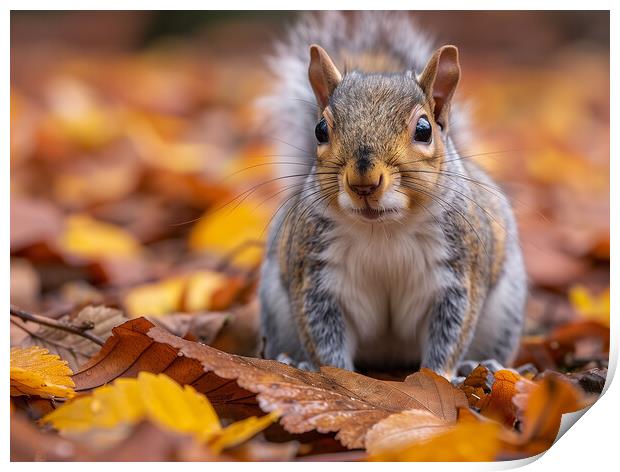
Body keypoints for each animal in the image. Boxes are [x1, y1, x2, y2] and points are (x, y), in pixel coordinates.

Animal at [256, 12, 524, 380]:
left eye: (424, 130)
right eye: (320, 130)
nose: (363, 182)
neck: (384, 229)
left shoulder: (457, 275)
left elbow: (449, 335)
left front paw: (443, 377)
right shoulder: (315, 276)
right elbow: (323, 337)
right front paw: (337, 376)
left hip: (504, 312)